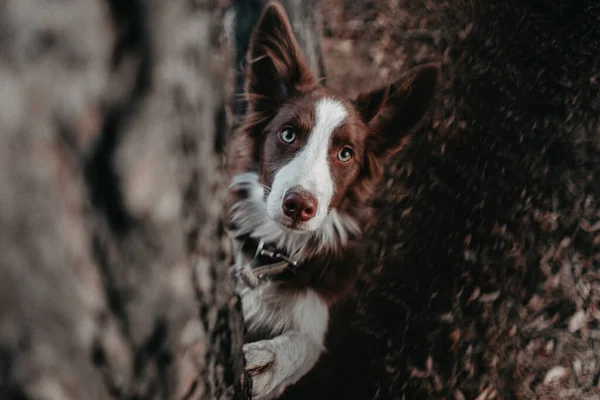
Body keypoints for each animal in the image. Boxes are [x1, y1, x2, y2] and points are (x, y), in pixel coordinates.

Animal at [225, 2, 440, 396]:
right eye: (288, 134)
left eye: (345, 154)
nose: (299, 206)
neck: (279, 253)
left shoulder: (323, 313)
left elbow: (308, 345)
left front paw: (267, 361)